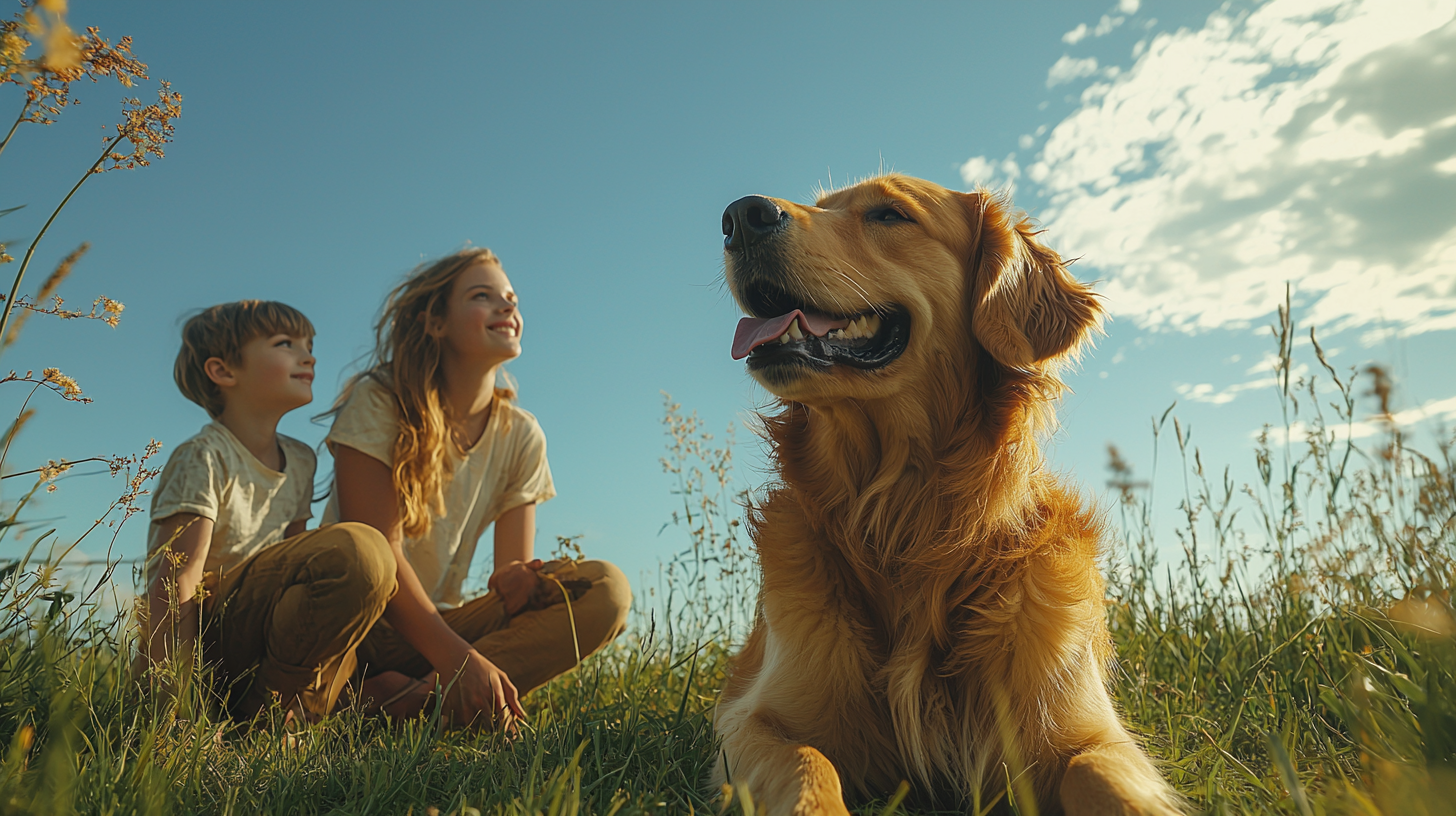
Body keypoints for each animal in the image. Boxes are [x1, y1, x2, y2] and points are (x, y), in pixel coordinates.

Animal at [713, 173, 1182, 816]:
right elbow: (811, 764)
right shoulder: (754, 722)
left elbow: (1101, 774)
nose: (739, 217)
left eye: (889, 214)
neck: (909, 525)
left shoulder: (1087, 731)